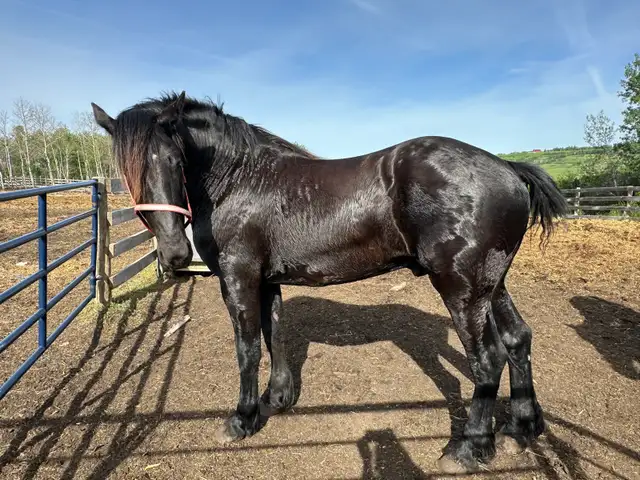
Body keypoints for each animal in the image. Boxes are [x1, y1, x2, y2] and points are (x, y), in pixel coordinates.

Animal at [91, 91, 568, 473]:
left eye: (175, 162)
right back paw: (521, 427)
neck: (241, 178)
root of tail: (506, 168)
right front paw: (278, 399)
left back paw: (470, 449)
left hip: (462, 289)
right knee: (517, 339)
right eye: (129, 172)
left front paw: (243, 418)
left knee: (487, 358)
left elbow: (247, 348)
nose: (174, 253)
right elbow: (275, 334)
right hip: (492, 285)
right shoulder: (267, 280)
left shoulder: (239, 277)